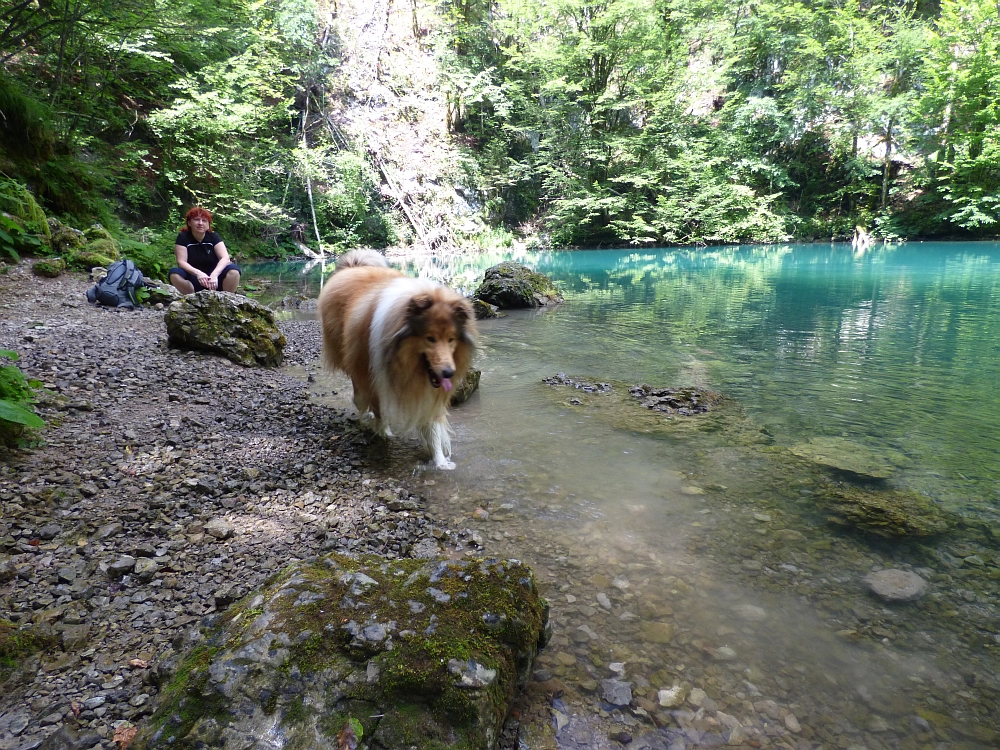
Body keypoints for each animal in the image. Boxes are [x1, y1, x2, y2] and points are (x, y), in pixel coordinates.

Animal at [320, 251, 476, 470]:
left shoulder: (427, 392)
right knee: (358, 390)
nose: (448, 373)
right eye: (430, 338)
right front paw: (383, 433)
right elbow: (378, 408)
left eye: (451, 339)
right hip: (351, 357)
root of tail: (353, 266)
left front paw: (440, 462)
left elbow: (432, 427)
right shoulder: (375, 374)